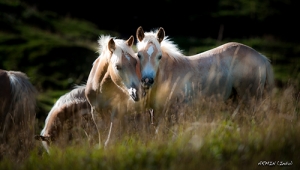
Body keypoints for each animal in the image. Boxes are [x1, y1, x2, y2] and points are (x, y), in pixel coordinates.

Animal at [136, 26, 274, 123]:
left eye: (159, 56)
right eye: (139, 55)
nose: (147, 80)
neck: (169, 74)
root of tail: (261, 57)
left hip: (251, 99)